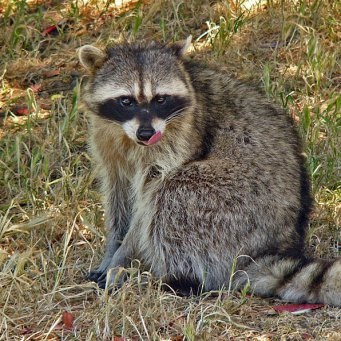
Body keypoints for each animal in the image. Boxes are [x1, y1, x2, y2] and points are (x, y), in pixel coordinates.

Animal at [77, 35, 340, 304]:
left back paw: (170, 279)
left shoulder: (183, 135)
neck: (129, 138)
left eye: (160, 99)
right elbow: (118, 197)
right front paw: (112, 250)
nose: (146, 133)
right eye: (126, 101)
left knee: (174, 193)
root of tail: (271, 246)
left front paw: (122, 258)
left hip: (239, 206)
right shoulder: (107, 143)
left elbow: (148, 203)